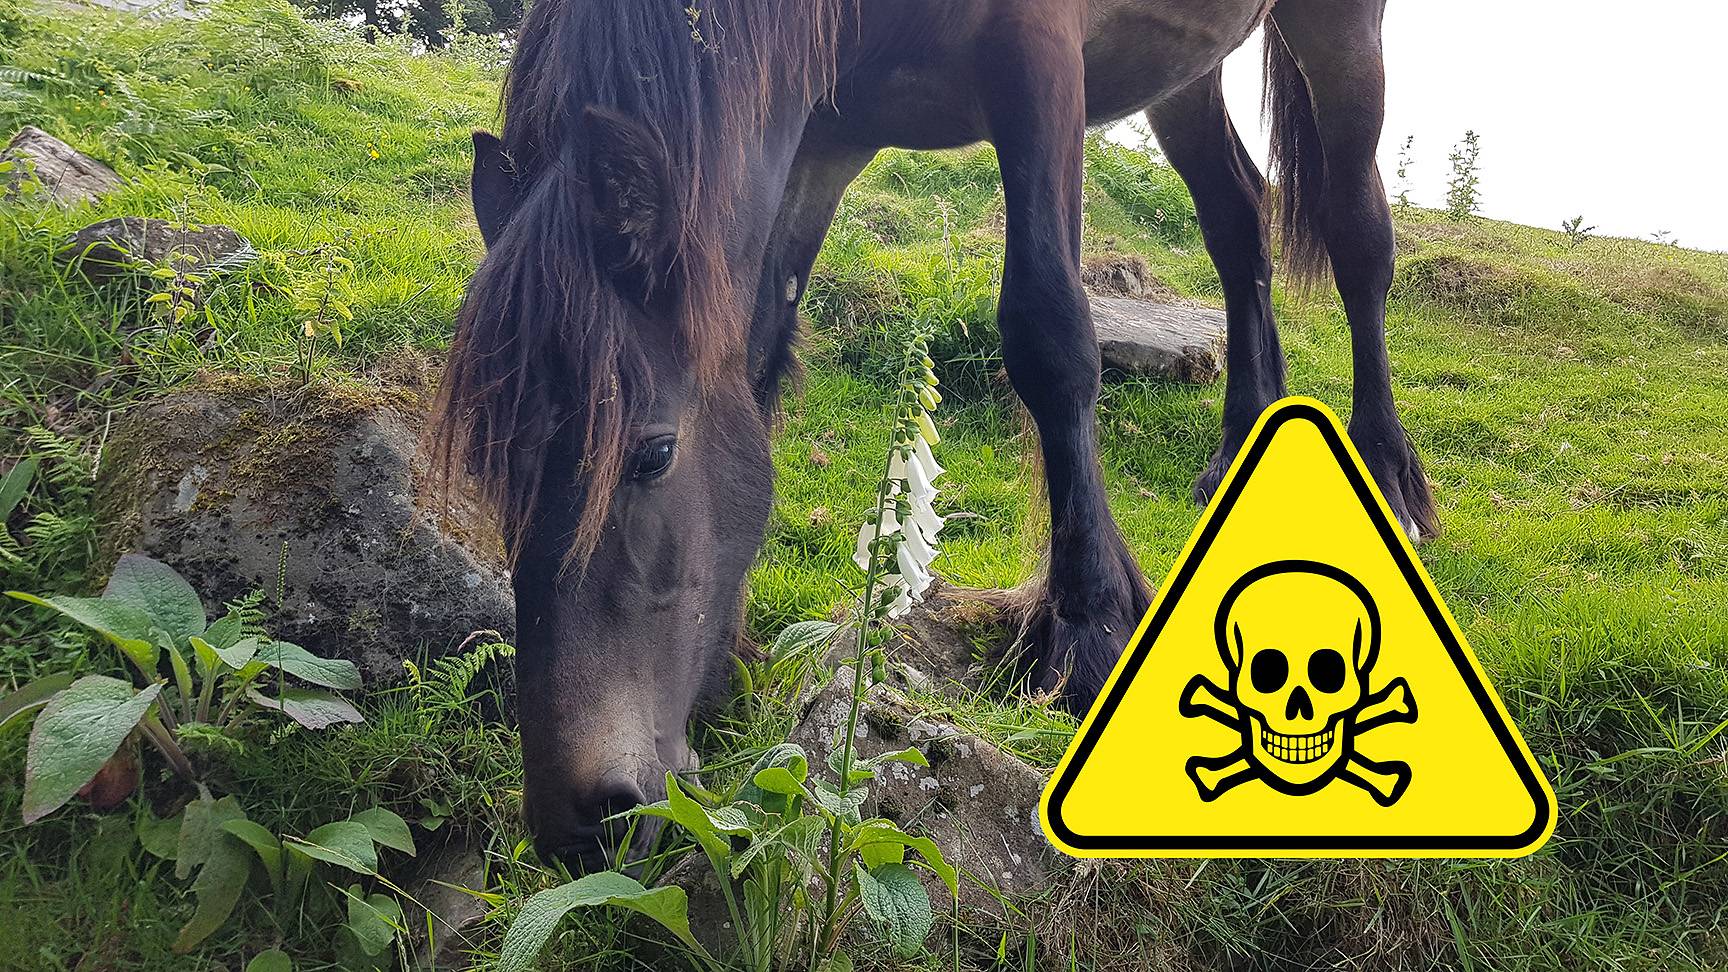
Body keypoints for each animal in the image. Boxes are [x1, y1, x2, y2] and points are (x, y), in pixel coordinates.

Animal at [436, 0, 1436, 872]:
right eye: (489, 474)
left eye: (651, 455)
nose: (579, 822)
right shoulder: (823, 134)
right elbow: (759, 345)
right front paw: (723, 668)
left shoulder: (1039, 61)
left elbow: (1049, 329)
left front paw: (1091, 625)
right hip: (1183, 68)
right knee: (1237, 218)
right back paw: (1244, 446)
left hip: (1338, 28)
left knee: (1357, 231)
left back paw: (1389, 471)